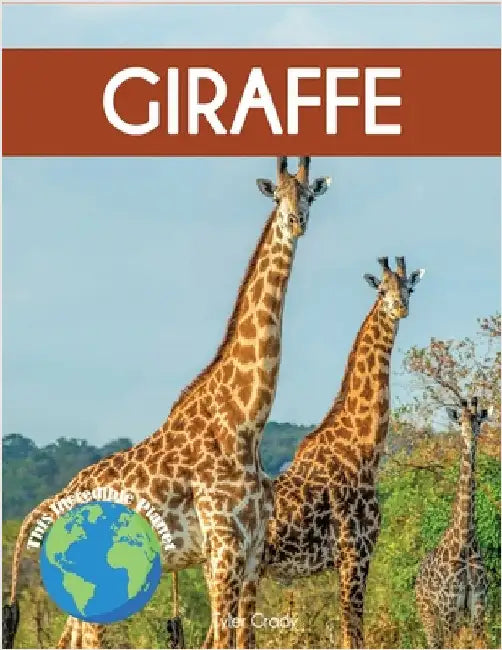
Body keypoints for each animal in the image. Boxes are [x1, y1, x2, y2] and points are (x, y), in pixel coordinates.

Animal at [2, 156, 331, 650]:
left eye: (309, 194)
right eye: (277, 196)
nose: (297, 222)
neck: (245, 421)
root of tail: (57, 499)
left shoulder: (252, 551)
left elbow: (243, 637)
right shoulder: (222, 548)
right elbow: (222, 639)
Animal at [203, 256, 425, 649]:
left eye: (409, 287)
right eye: (382, 290)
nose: (401, 307)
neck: (363, 450)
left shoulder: (355, 557)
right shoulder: (354, 553)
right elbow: (352, 635)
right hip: (238, 570)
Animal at [415, 397, 489, 649]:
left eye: (478, 420)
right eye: (459, 422)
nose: (470, 436)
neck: (465, 543)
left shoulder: (478, 606)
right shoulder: (449, 607)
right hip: (428, 613)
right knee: (433, 643)